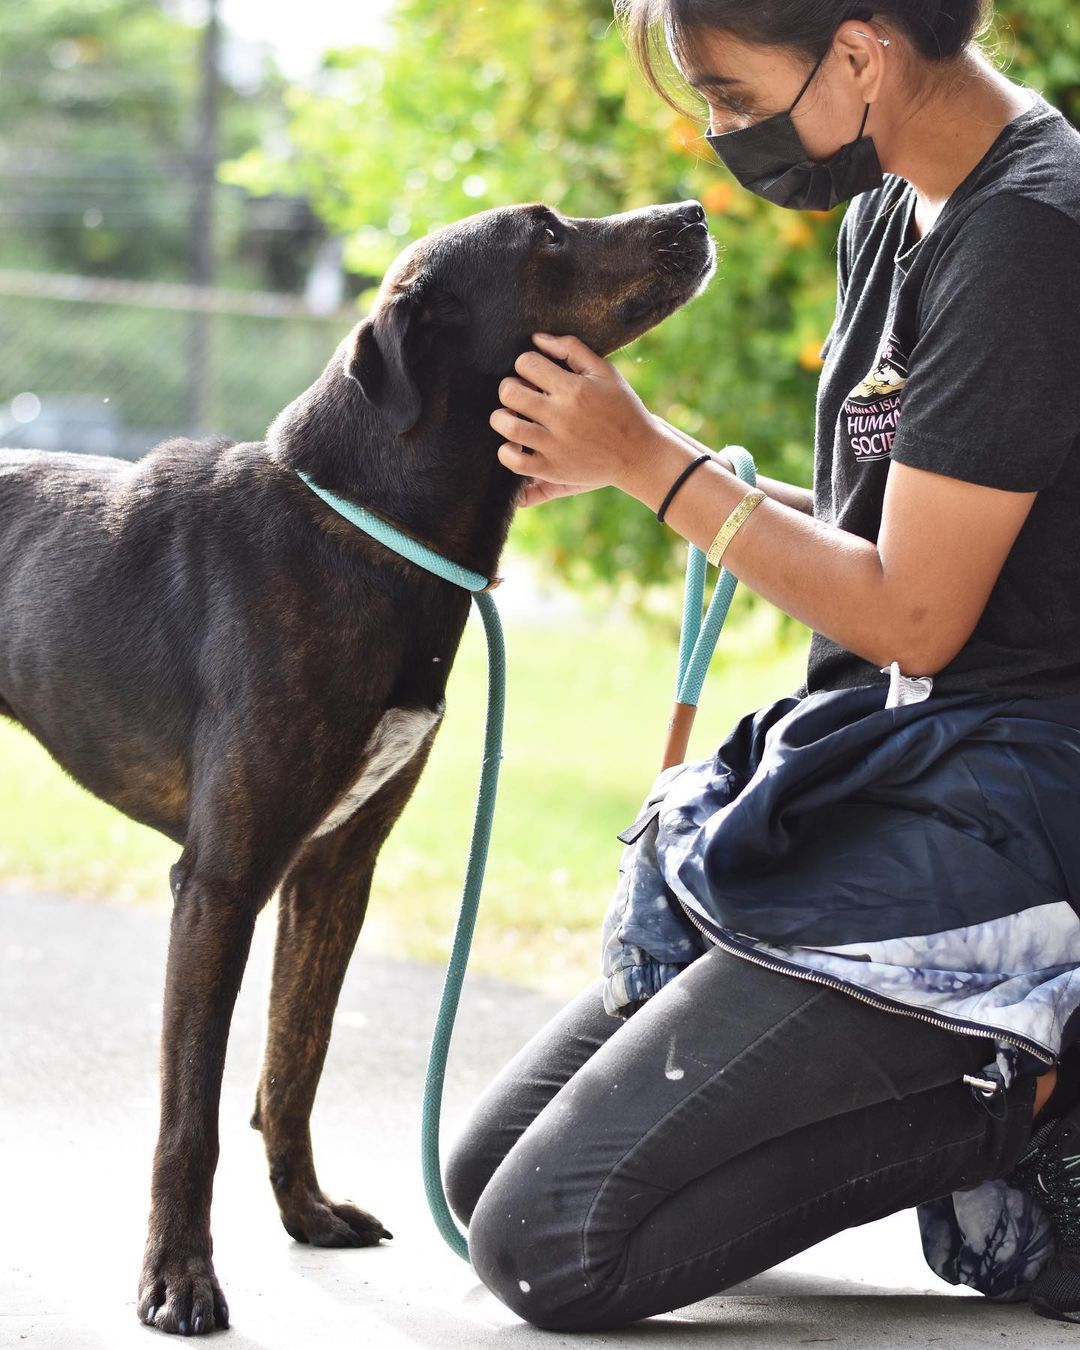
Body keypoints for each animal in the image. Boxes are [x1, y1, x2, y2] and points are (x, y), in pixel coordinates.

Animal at [2, 195, 718, 1333]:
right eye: (545, 233)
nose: (694, 210)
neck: (364, 528)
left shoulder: (335, 871)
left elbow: (294, 1066)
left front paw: (306, 1213)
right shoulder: (221, 882)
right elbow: (191, 1114)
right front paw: (178, 1278)